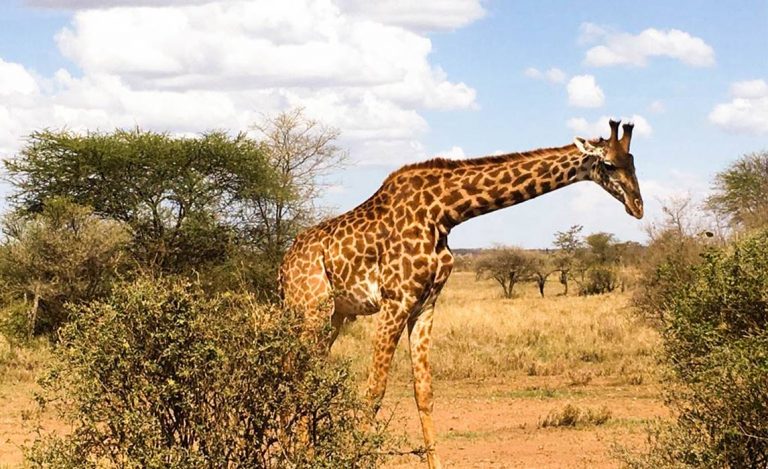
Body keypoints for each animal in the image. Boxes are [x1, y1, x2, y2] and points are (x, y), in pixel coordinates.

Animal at [280, 119, 640, 466]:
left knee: (300, 372)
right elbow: (375, 391)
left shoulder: (425, 304)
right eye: (609, 165)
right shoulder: (396, 301)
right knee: (295, 373)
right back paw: (294, 453)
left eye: (633, 161)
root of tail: (283, 266)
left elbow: (423, 392)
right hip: (310, 310)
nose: (638, 207)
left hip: (334, 317)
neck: (444, 212)